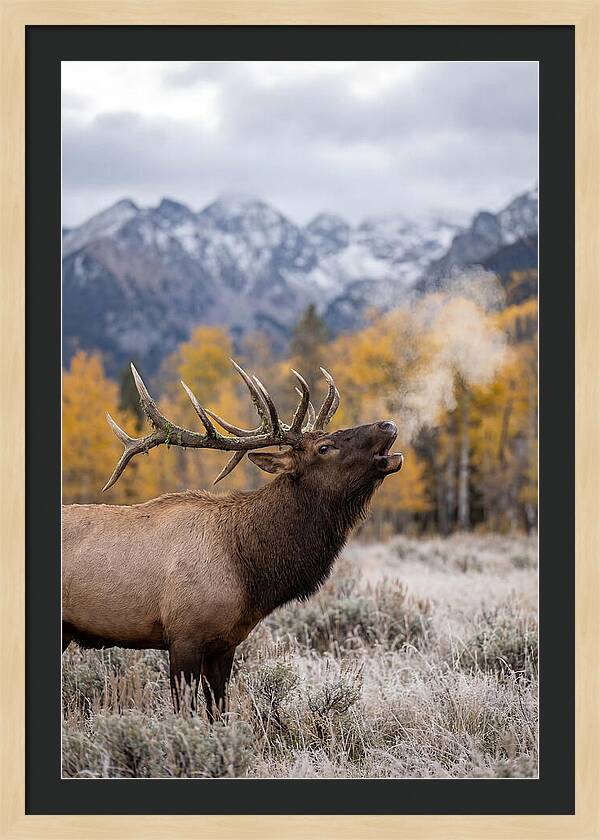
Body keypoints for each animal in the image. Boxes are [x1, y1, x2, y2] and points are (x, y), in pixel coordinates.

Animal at [62, 360, 403, 718]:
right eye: (324, 448)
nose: (387, 424)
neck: (248, 571)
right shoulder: (184, 635)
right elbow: (185, 712)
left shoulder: (225, 643)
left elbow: (219, 710)